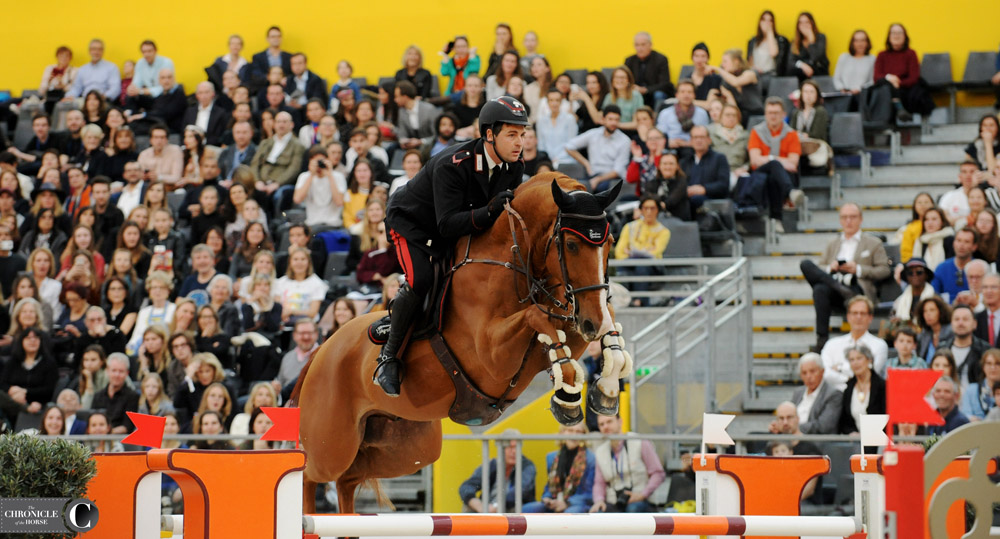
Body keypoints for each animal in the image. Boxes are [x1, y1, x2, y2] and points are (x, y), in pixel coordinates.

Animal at [292, 174, 628, 516]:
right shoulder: (492, 357)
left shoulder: (568, 321)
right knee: (309, 475)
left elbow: (599, 322)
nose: (591, 322)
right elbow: (536, 317)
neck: (513, 263)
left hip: (407, 448)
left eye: (609, 242)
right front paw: (568, 397)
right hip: (333, 443)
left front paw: (605, 388)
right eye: (571, 245)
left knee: (347, 479)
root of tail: (321, 351)